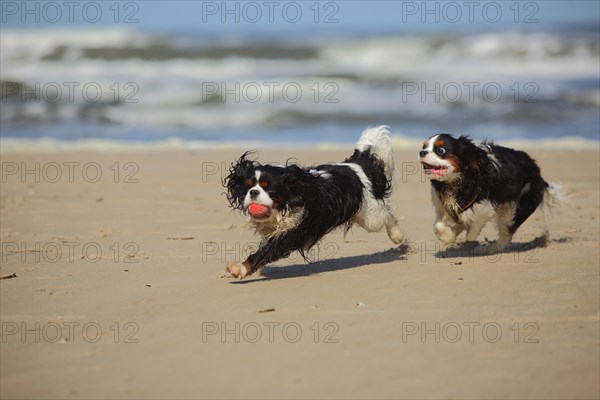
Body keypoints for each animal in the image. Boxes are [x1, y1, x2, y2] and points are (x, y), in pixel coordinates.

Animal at [224, 125, 404, 278]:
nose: (253, 192)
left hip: (370, 216)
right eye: (248, 186)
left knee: (386, 214)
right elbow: (264, 245)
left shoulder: (295, 232)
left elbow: (268, 250)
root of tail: (357, 163)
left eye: (269, 189)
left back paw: (397, 236)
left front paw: (241, 268)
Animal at [420, 134, 564, 253]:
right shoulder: (442, 206)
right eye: (424, 146)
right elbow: (439, 226)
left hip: (516, 208)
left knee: (506, 232)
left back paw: (492, 248)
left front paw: (458, 234)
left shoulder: (484, 208)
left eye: (441, 150)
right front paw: (449, 235)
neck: (453, 182)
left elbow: (473, 228)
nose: (422, 152)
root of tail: (538, 173)